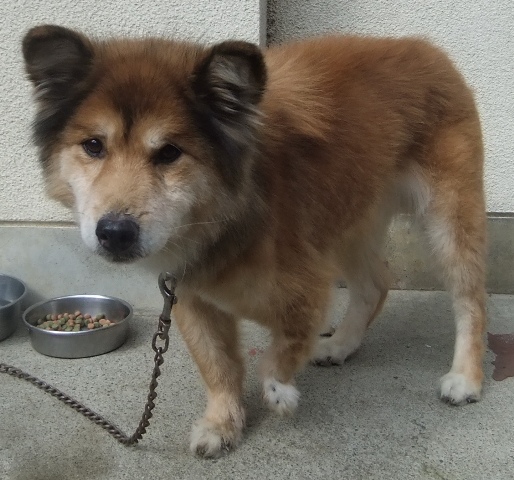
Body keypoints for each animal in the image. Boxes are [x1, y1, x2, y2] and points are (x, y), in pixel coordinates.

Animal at [23, 25, 484, 458]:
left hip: (447, 220)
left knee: (469, 301)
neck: (225, 219)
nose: (114, 233)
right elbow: (219, 368)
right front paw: (222, 424)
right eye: (93, 145)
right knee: (374, 285)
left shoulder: (307, 286)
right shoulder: (193, 299)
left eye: (169, 153)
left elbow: (284, 348)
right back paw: (342, 344)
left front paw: (279, 390)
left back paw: (466, 377)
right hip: (349, 216)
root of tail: (422, 46)